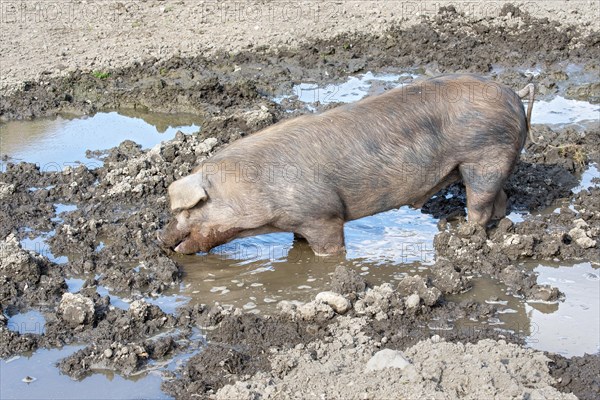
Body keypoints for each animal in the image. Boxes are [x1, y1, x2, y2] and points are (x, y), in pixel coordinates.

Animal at [157, 74, 536, 256]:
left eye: (186, 211)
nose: (161, 238)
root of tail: (513, 94)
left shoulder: (322, 215)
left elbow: (330, 248)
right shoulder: (298, 222)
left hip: (484, 156)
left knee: (480, 203)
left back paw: (464, 234)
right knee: (500, 198)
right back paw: (498, 226)